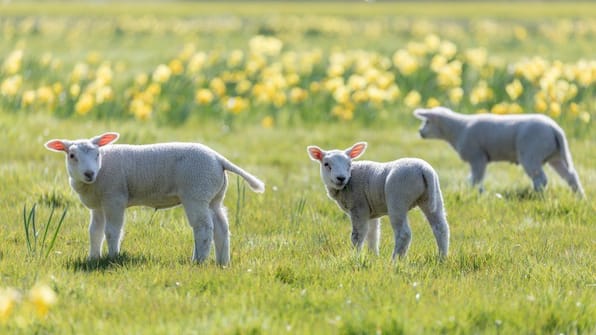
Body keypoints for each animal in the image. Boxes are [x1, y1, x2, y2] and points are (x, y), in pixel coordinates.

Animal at [44, 133, 264, 266]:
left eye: (97, 154)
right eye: (72, 155)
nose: (89, 173)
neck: (100, 172)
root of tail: (219, 159)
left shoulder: (115, 197)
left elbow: (112, 231)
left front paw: (112, 257)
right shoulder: (98, 205)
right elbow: (94, 232)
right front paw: (93, 257)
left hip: (196, 192)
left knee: (203, 227)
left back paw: (198, 261)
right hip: (213, 195)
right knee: (221, 227)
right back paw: (222, 262)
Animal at [308, 142, 448, 260]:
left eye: (349, 164)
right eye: (326, 164)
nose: (341, 178)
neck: (349, 182)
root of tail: (424, 170)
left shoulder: (359, 207)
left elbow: (358, 235)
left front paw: (354, 257)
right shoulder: (371, 212)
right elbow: (373, 234)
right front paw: (373, 256)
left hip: (397, 199)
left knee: (404, 233)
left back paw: (395, 260)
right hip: (432, 196)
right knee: (441, 228)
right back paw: (442, 258)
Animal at [412, 107, 584, 197]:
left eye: (427, 122)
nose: (420, 132)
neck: (458, 129)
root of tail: (556, 129)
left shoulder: (478, 157)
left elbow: (476, 179)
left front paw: (474, 193)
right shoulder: (478, 160)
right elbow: (473, 179)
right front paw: (477, 193)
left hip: (531, 154)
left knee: (541, 178)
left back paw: (536, 196)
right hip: (555, 156)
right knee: (571, 176)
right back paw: (579, 196)